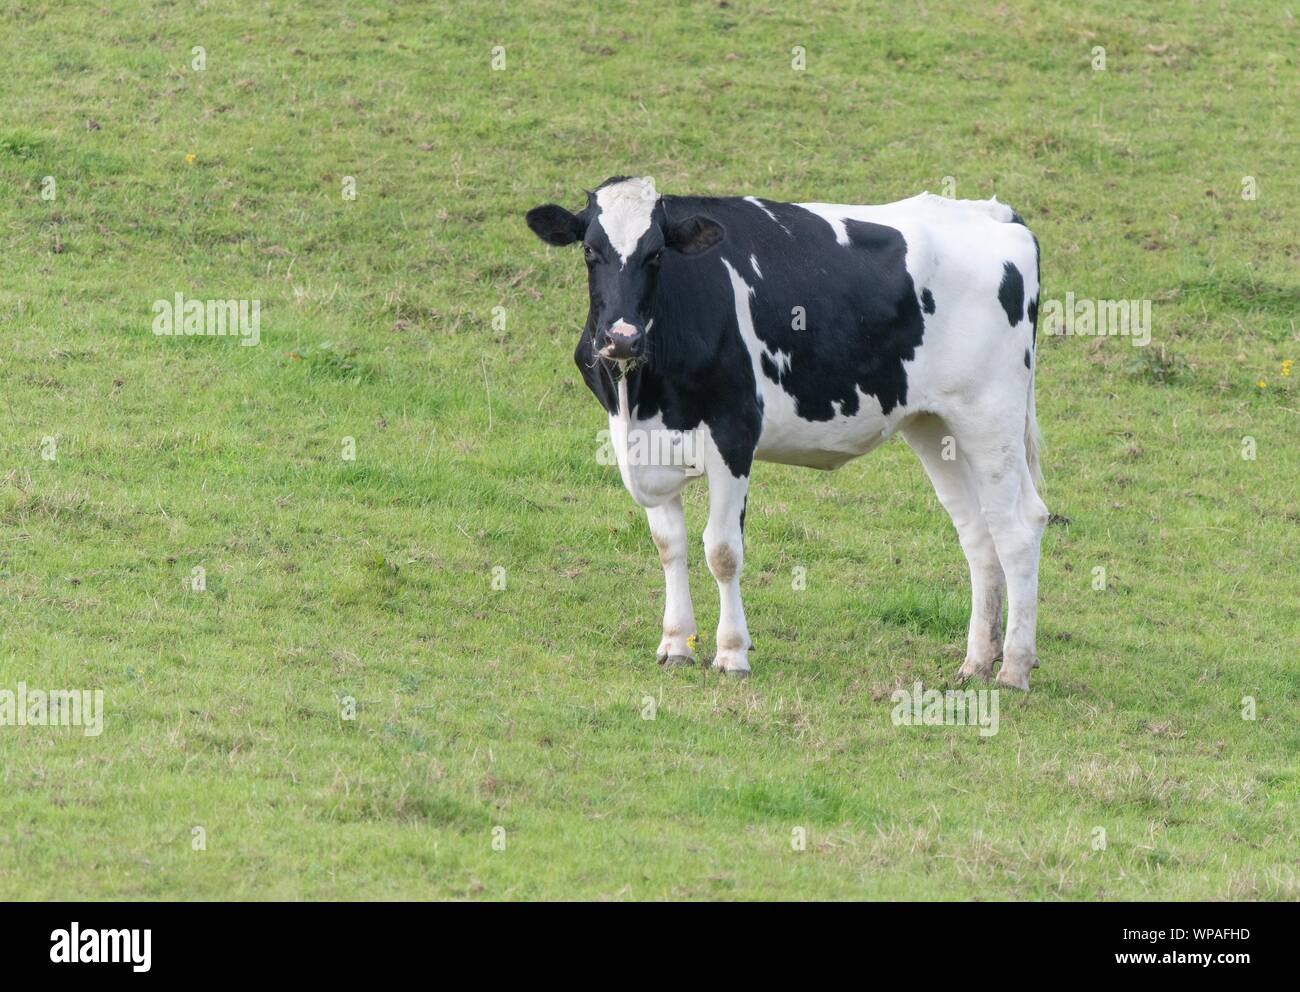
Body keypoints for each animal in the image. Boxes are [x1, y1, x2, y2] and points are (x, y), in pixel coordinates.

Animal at [525, 176, 1048, 689]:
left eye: (656, 254)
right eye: (589, 250)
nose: (622, 338)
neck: (641, 394)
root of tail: (992, 212)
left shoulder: (734, 433)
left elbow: (722, 550)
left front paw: (732, 653)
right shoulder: (645, 445)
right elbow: (669, 545)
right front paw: (675, 645)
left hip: (991, 412)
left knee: (1018, 529)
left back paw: (1013, 668)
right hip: (936, 425)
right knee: (978, 535)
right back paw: (976, 662)